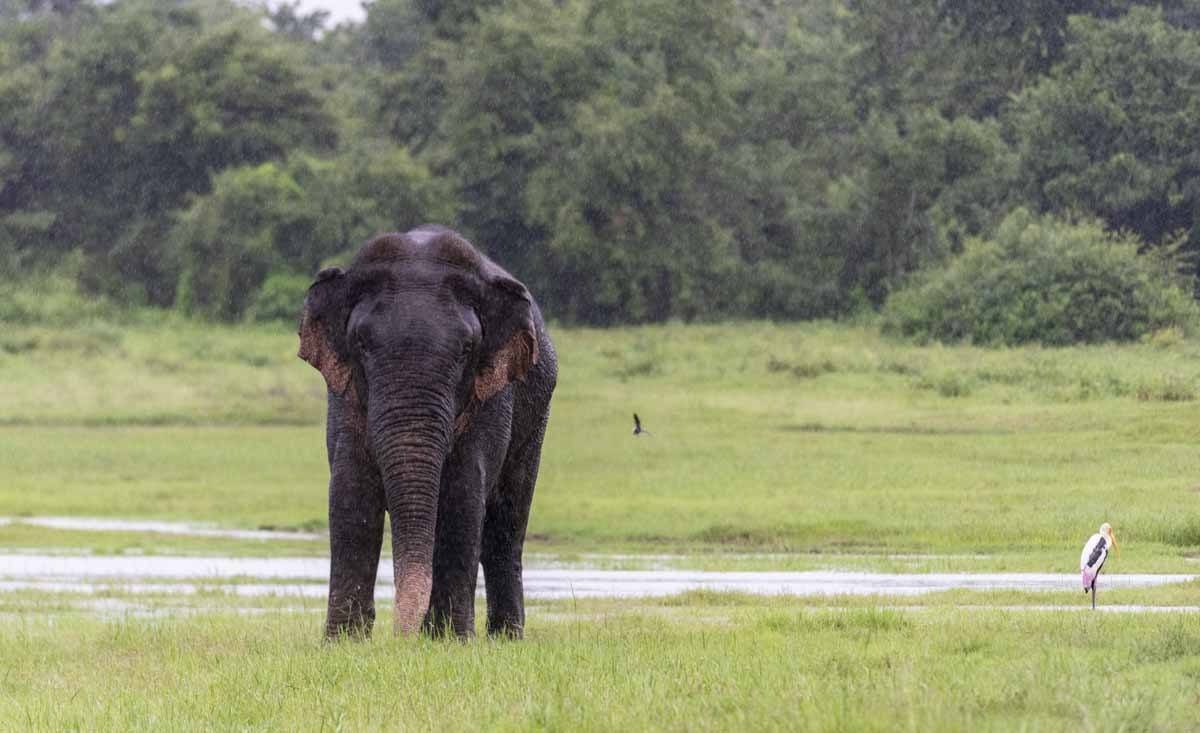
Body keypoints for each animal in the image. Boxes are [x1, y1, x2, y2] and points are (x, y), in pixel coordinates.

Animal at [302, 225, 559, 643]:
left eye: (467, 349)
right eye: (360, 343)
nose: (400, 637)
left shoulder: (492, 393)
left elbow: (462, 493)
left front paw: (449, 641)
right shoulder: (344, 391)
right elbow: (351, 491)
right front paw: (343, 642)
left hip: (536, 416)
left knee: (507, 522)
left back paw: (506, 638)